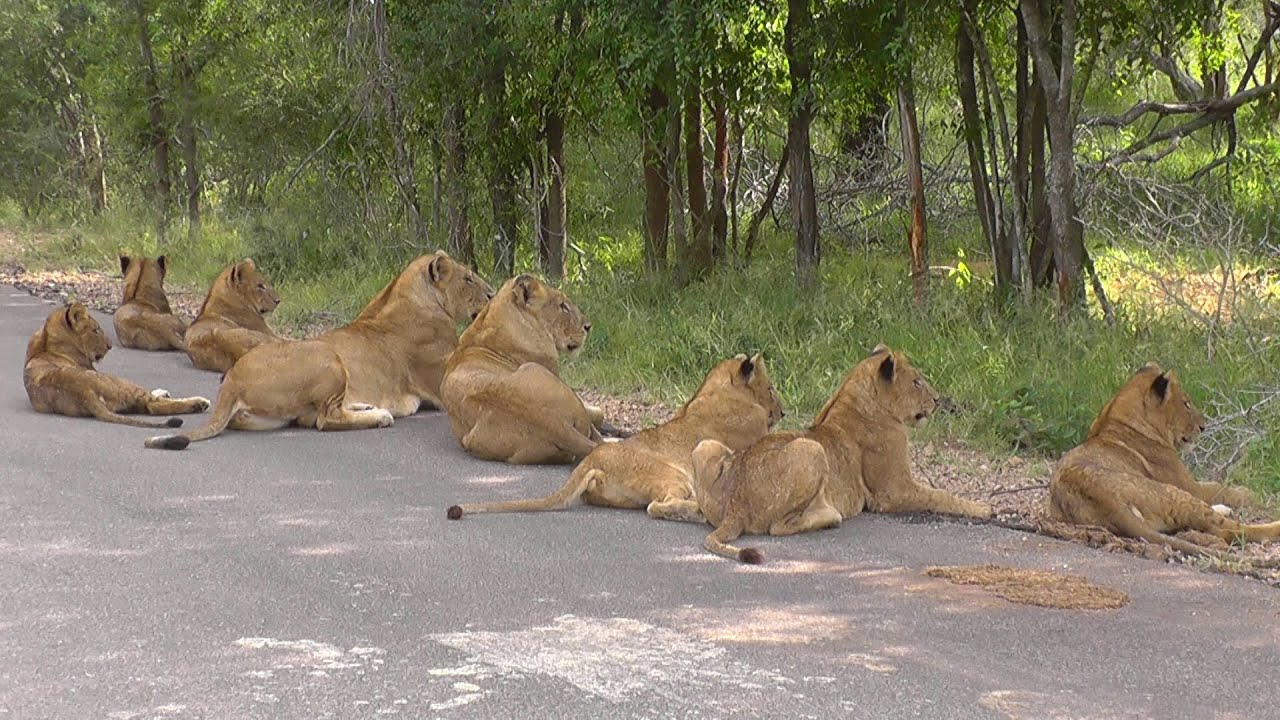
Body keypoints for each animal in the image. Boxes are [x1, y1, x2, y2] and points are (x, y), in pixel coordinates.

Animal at [24, 302, 209, 431]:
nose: (109, 346)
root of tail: (83, 391)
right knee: (153, 404)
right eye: (96, 330)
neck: (47, 339)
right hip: (121, 382)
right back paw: (200, 403)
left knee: (150, 406)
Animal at [445, 353, 785, 520]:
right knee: (655, 507)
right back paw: (695, 512)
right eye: (770, 389)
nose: (783, 412)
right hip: (671, 475)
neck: (717, 390)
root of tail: (592, 460)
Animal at [691, 345, 992, 563]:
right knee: (779, 527)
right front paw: (984, 508)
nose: (937, 399)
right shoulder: (891, 492)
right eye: (917, 382)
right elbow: (940, 496)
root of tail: (736, 504)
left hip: (705, 445)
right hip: (812, 449)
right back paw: (830, 516)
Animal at [1048, 363, 1278, 557]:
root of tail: (1107, 501)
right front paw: (1249, 494)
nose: (1203, 427)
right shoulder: (1190, 486)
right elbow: (1219, 488)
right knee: (1231, 530)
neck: (1116, 418)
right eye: (1186, 403)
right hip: (1173, 493)